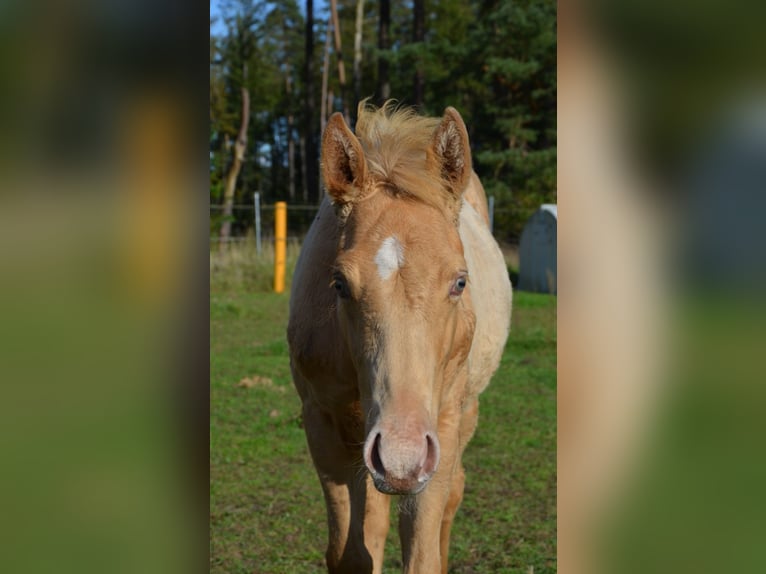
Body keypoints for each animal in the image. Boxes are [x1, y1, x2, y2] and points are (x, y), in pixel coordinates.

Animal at [286, 103, 510, 574]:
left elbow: (422, 554)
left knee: (453, 494)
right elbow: (351, 551)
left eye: (460, 282)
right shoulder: (323, 426)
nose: (401, 456)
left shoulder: (440, 428)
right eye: (339, 283)